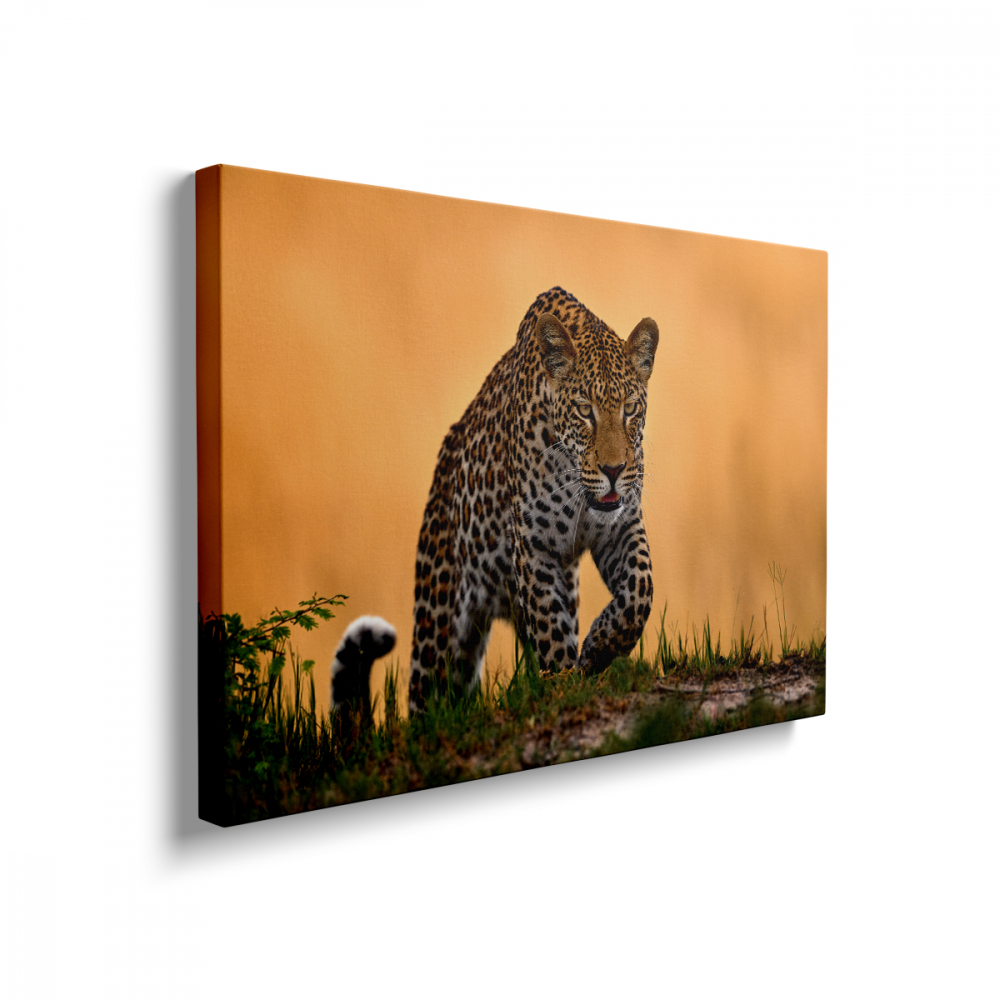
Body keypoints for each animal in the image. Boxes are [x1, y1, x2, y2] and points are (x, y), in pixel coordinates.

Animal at [331, 287, 658, 719]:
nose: (614, 469)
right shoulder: (535, 548)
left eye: (630, 409)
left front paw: (597, 650)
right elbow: (550, 629)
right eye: (584, 410)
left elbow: (639, 592)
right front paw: (565, 688)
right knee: (426, 697)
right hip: (438, 618)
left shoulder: (621, 527)